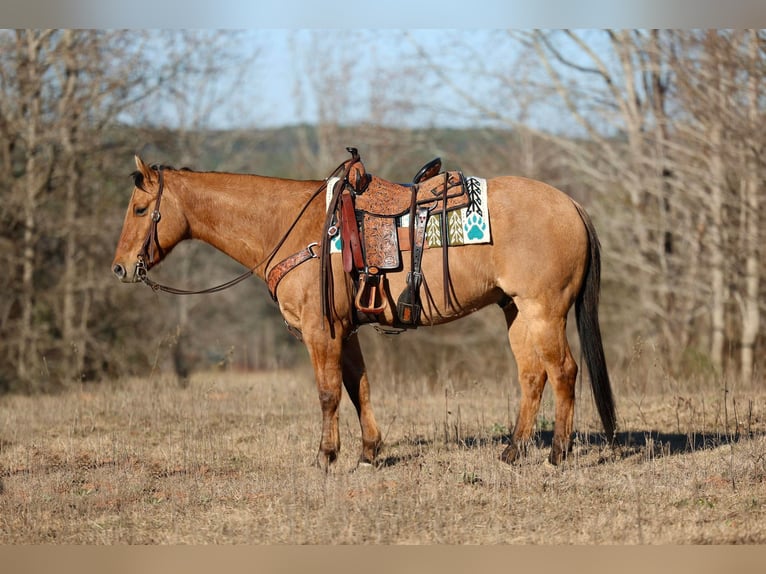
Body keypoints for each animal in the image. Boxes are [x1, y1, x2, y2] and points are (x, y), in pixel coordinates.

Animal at [112, 154, 616, 472]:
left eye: (140, 208)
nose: (120, 267)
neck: (294, 228)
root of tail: (571, 204)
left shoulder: (321, 331)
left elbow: (328, 394)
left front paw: (325, 457)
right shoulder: (346, 330)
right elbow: (360, 389)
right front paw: (369, 452)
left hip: (544, 311)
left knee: (564, 371)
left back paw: (557, 453)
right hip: (516, 312)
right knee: (532, 375)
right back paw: (513, 451)